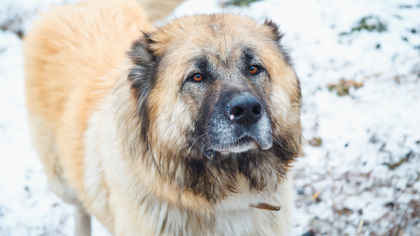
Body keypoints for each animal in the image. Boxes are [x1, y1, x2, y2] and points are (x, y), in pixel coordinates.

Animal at [24, 0, 302, 234]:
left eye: (254, 69)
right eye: (197, 76)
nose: (246, 111)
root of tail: (79, 6)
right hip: (61, 182)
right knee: (79, 206)